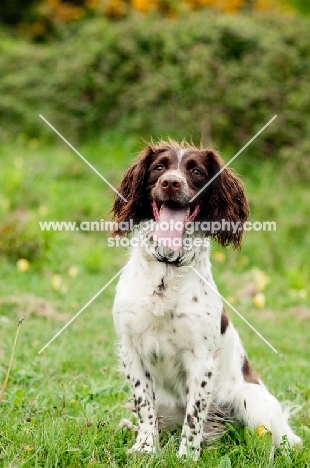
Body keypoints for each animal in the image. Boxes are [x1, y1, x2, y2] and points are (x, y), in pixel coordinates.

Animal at [111, 140, 300, 460]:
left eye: (196, 171)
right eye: (159, 167)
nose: (171, 183)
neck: (167, 270)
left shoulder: (201, 359)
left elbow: (194, 415)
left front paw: (187, 456)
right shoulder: (131, 350)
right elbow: (144, 405)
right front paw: (145, 447)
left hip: (253, 402)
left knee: (281, 440)